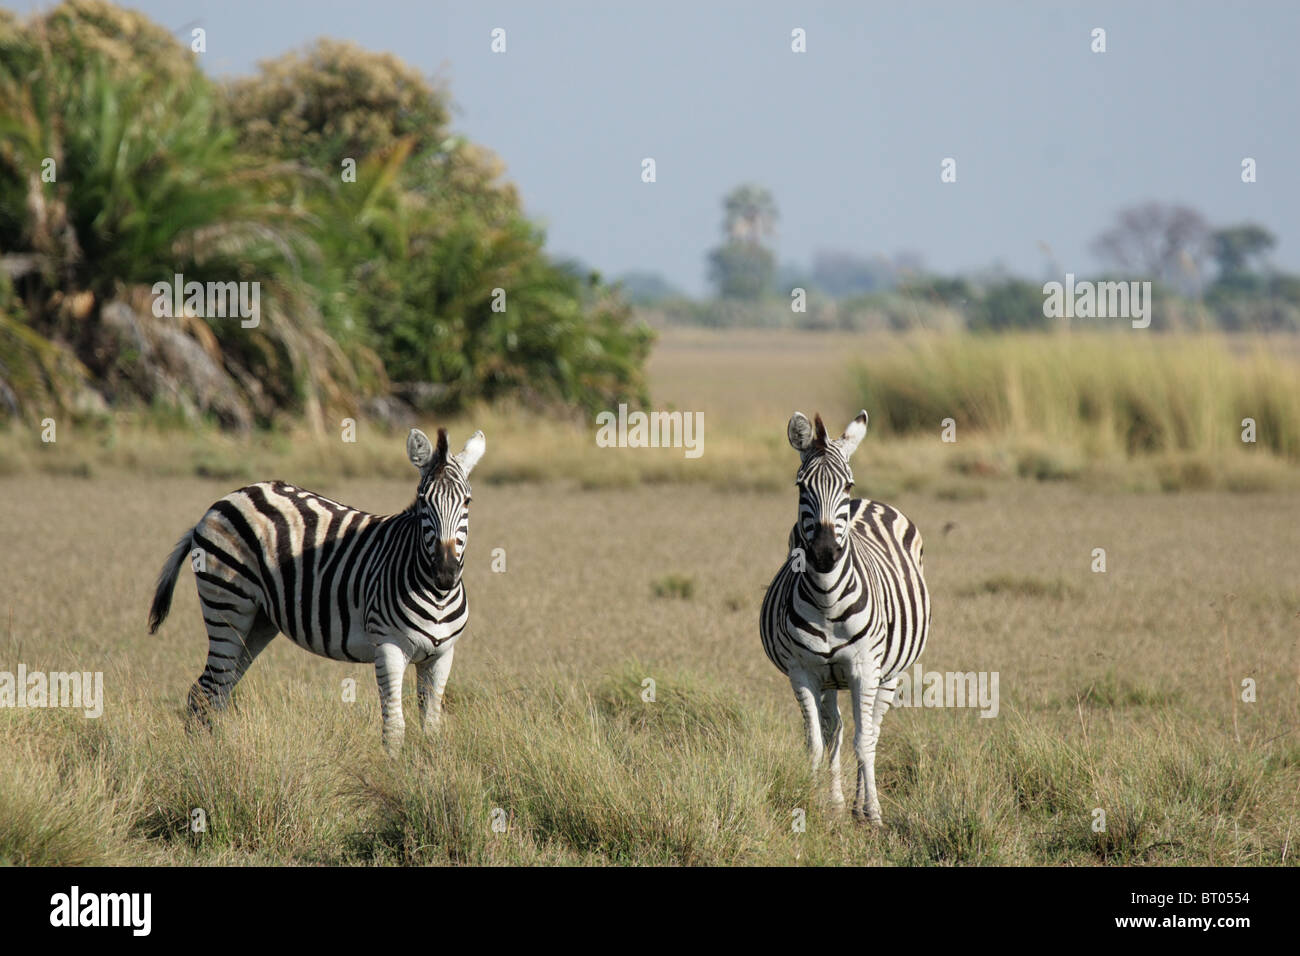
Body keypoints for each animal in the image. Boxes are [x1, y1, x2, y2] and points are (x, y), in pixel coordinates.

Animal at [143, 429, 488, 754]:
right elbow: (394, 727)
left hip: (258, 622)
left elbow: (432, 727)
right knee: (208, 690)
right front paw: (394, 770)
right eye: (422, 502)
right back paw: (206, 760)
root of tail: (227, 499)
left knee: (212, 691)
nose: (444, 574)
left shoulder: (442, 655)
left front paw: (427, 769)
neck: (437, 596)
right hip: (227, 606)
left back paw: (215, 755)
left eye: (467, 502)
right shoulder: (388, 646)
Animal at [759, 411, 935, 822]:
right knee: (834, 729)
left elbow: (863, 739)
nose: (825, 553)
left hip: (889, 674)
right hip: (829, 679)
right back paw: (840, 802)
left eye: (847, 485)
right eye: (800, 486)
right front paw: (812, 800)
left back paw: (860, 804)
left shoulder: (864, 668)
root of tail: (868, 503)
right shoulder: (803, 672)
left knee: (868, 731)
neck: (826, 600)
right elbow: (816, 742)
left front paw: (872, 811)